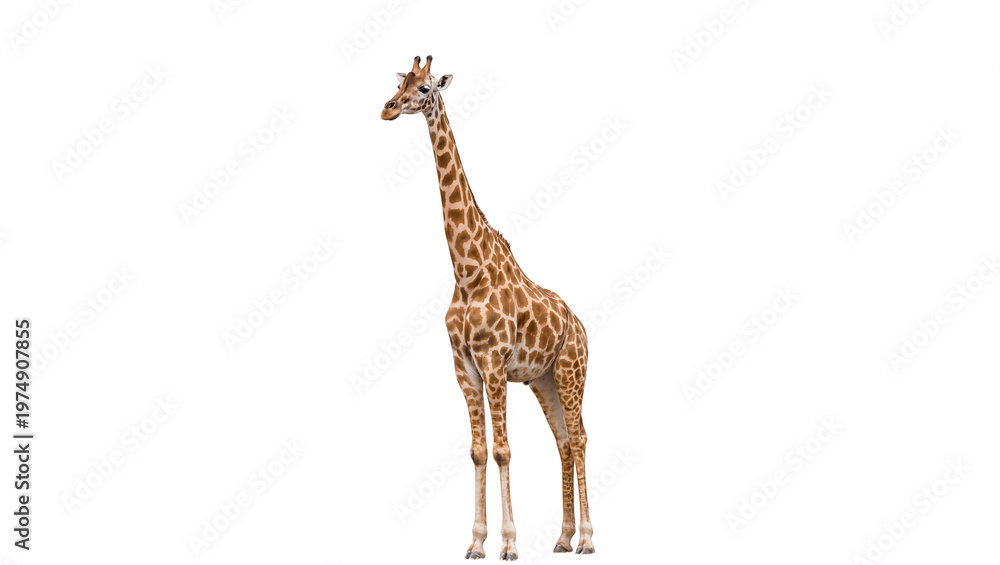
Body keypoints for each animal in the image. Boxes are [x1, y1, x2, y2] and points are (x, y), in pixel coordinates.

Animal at [381, 56, 594, 561]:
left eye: (425, 88)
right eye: (399, 83)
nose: (388, 108)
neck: (466, 269)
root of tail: (581, 327)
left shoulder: (494, 361)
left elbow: (502, 449)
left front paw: (510, 545)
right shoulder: (463, 365)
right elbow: (479, 451)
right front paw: (476, 542)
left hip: (571, 373)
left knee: (580, 438)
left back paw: (588, 539)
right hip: (544, 381)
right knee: (563, 441)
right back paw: (562, 538)